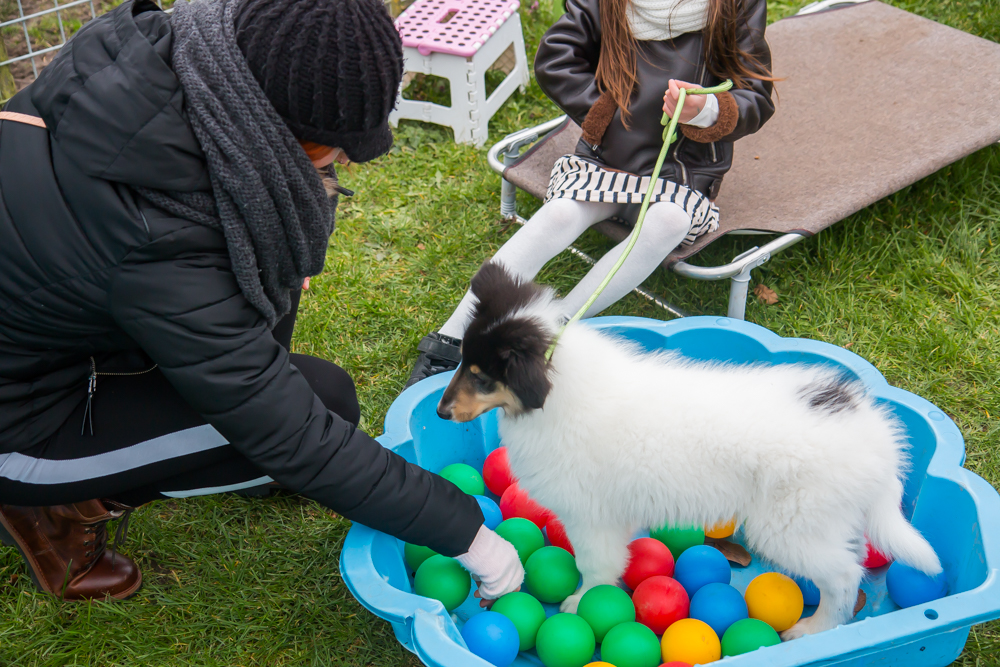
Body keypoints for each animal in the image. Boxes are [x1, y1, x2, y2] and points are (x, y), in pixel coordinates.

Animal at [436, 260, 936, 636]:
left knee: (846, 575)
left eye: (483, 378)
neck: (560, 392)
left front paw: (579, 603)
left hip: (792, 525)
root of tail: (877, 439)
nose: (440, 413)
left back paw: (813, 630)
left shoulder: (590, 516)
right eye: (461, 360)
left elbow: (595, 566)